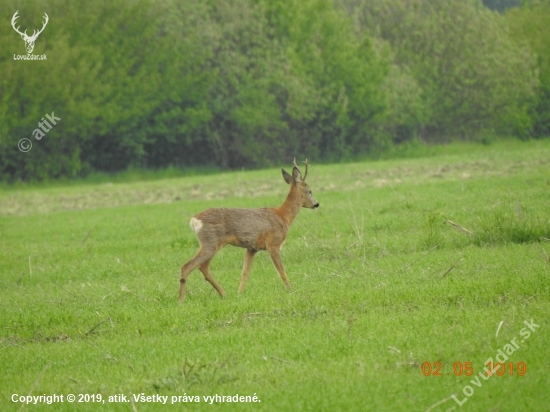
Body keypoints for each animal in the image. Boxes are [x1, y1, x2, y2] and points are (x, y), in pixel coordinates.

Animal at [179, 158, 322, 300]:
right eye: (310, 191)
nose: (316, 204)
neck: (283, 216)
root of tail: (194, 220)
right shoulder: (273, 244)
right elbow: (281, 271)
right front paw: (291, 290)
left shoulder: (251, 248)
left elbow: (245, 273)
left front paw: (239, 294)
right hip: (210, 241)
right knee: (188, 266)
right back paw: (181, 299)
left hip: (211, 243)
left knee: (203, 267)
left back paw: (223, 293)